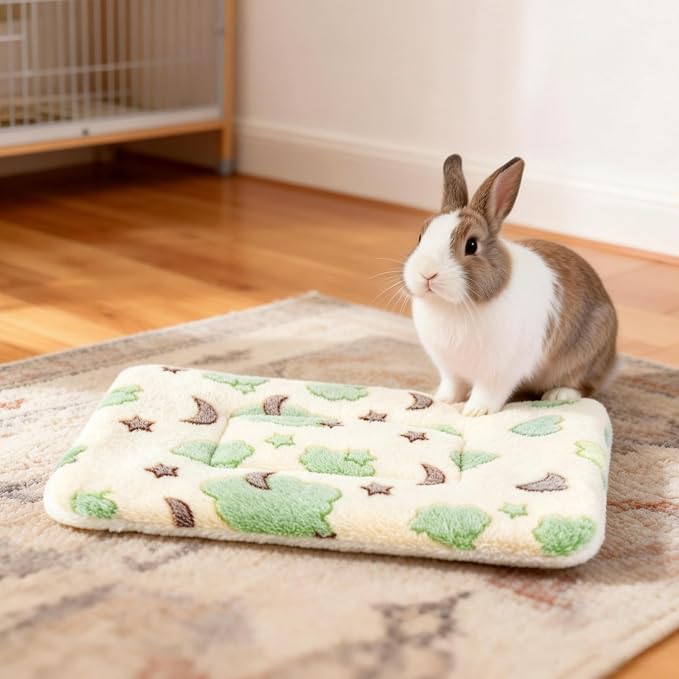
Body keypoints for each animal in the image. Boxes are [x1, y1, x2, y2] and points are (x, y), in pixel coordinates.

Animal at [402, 154, 618, 416]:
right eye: (420, 238)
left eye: (471, 245)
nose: (426, 274)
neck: (454, 306)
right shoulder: (450, 368)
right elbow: (453, 385)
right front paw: (443, 399)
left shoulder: (499, 371)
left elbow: (488, 392)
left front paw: (475, 411)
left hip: (587, 352)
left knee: (583, 384)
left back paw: (558, 395)